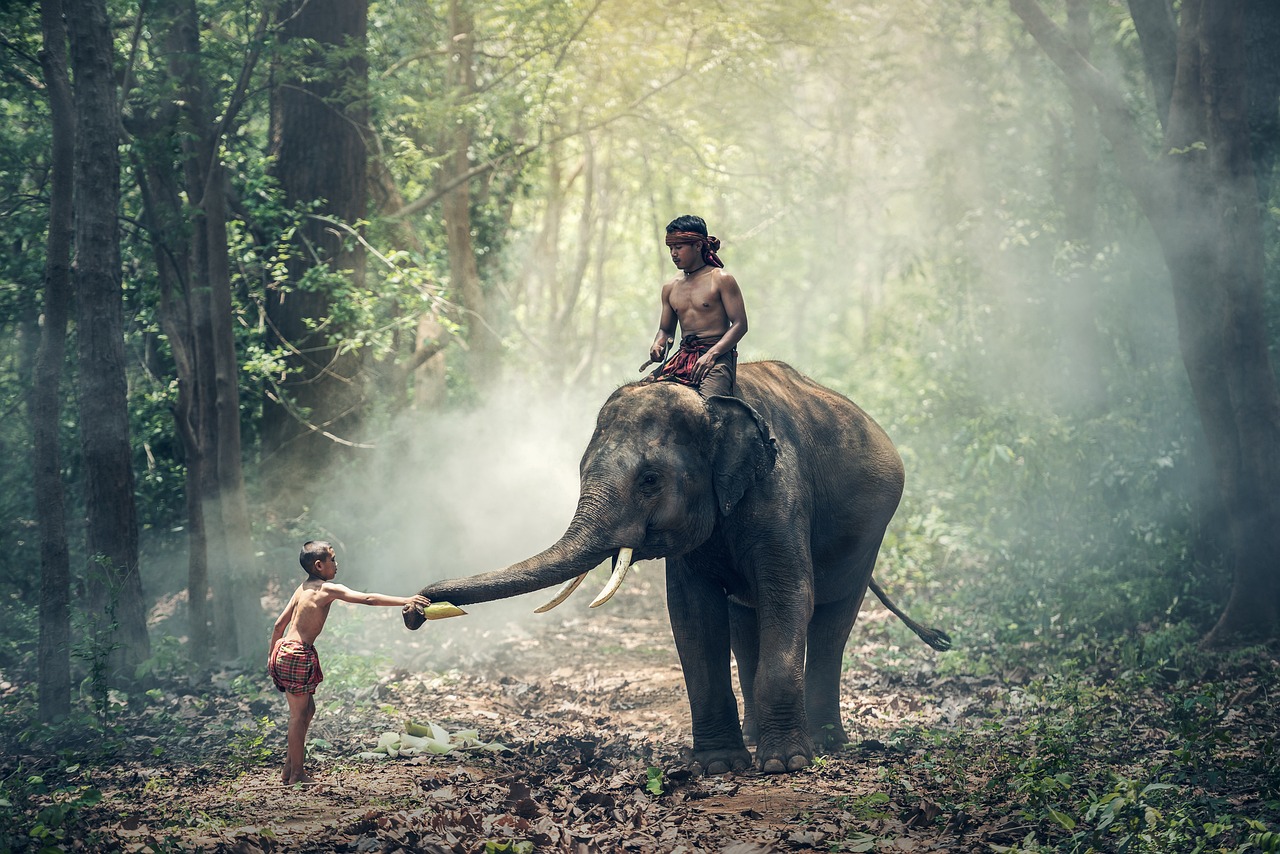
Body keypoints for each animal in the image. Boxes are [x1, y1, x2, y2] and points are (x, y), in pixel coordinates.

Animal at [401, 361, 952, 773]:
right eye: (580, 471)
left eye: (649, 480)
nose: (415, 609)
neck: (710, 404)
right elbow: (692, 614)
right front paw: (720, 765)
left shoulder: (780, 491)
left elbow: (789, 594)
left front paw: (785, 766)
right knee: (745, 623)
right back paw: (758, 737)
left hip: (870, 536)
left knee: (832, 621)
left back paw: (825, 744)